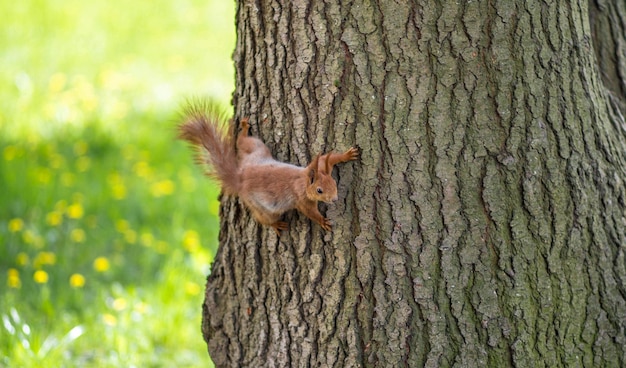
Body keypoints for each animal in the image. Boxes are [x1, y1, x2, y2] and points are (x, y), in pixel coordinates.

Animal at [178, 103, 358, 236]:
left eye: (334, 183)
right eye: (319, 190)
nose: (334, 199)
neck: (304, 179)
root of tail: (240, 177)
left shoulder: (318, 165)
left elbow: (328, 158)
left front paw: (346, 155)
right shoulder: (302, 200)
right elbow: (310, 213)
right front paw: (323, 221)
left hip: (257, 149)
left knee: (242, 142)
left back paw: (244, 127)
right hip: (261, 206)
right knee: (263, 218)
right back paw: (275, 225)